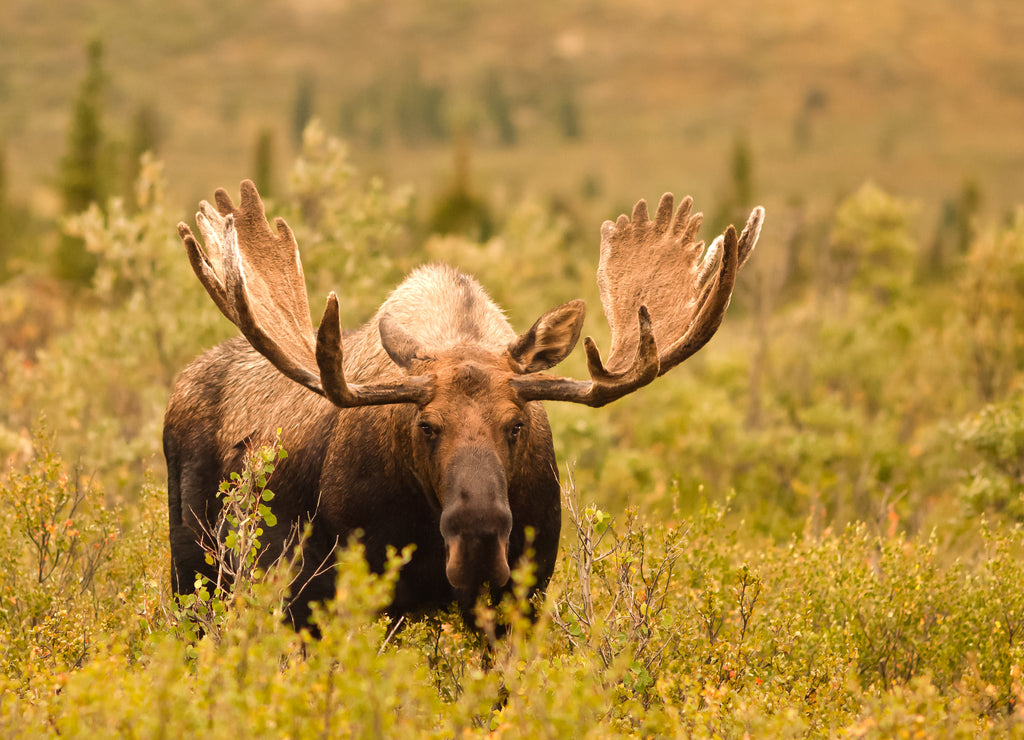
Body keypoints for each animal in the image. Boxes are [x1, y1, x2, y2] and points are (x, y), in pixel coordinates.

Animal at [164, 180, 763, 628]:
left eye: (516, 425)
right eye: (426, 425)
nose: (478, 538)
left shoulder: (521, 596)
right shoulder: (341, 593)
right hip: (195, 568)